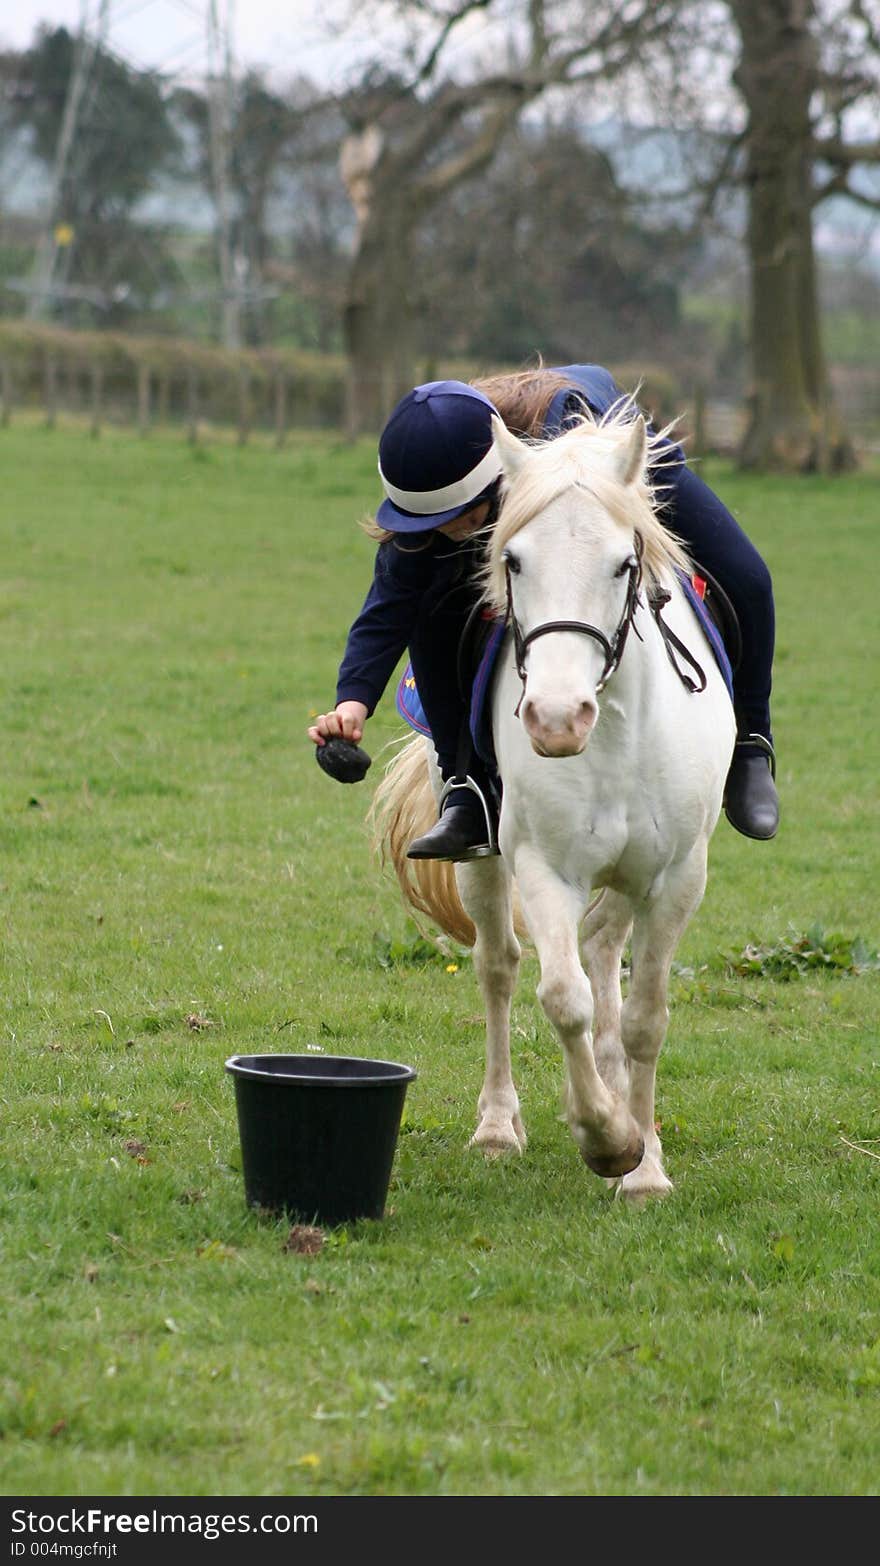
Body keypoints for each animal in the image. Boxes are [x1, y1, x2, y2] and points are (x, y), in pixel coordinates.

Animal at [369, 404, 732, 1196]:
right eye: (512, 560)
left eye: (624, 564)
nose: (556, 719)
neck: (615, 735)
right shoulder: (542, 867)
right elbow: (562, 997)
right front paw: (607, 1140)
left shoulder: (676, 878)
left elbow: (645, 1016)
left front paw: (644, 1167)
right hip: (482, 858)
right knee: (501, 966)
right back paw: (501, 1126)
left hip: (631, 876)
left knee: (602, 948)